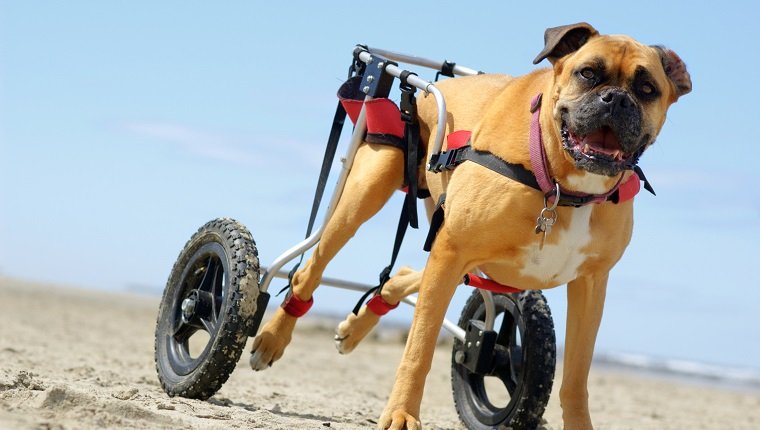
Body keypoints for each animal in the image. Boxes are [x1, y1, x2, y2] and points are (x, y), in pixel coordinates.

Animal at [252, 23, 692, 430]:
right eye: (588, 73)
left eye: (647, 88)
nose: (615, 98)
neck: (561, 183)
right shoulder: (453, 248)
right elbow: (419, 347)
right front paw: (401, 414)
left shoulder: (590, 285)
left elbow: (576, 378)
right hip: (364, 198)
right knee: (309, 269)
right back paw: (272, 338)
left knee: (408, 273)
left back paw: (360, 322)